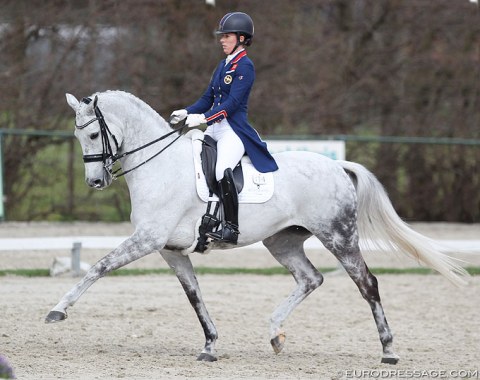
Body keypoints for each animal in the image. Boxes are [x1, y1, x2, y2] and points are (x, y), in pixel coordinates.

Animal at [46, 88, 468, 362]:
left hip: (339, 236)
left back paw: (388, 350)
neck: (160, 166)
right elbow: (194, 295)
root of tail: (337, 166)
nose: (95, 182)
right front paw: (210, 345)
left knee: (367, 284)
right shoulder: (170, 251)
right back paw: (276, 334)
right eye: (78, 135)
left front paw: (58, 311)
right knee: (311, 279)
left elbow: (98, 267)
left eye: (94, 133)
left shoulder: (147, 240)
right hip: (282, 241)